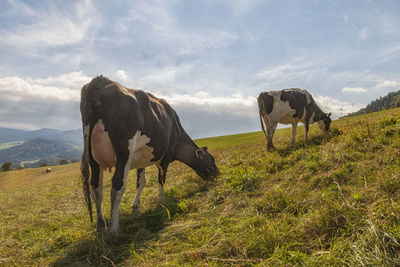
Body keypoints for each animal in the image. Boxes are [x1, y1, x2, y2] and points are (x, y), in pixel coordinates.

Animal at [80, 75, 220, 237]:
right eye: (211, 160)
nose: (218, 174)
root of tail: (100, 80)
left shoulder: (140, 159)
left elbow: (141, 182)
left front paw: (136, 205)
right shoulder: (166, 156)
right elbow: (161, 179)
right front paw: (162, 202)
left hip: (93, 157)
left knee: (96, 189)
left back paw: (100, 226)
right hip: (123, 152)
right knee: (117, 186)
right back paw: (113, 230)